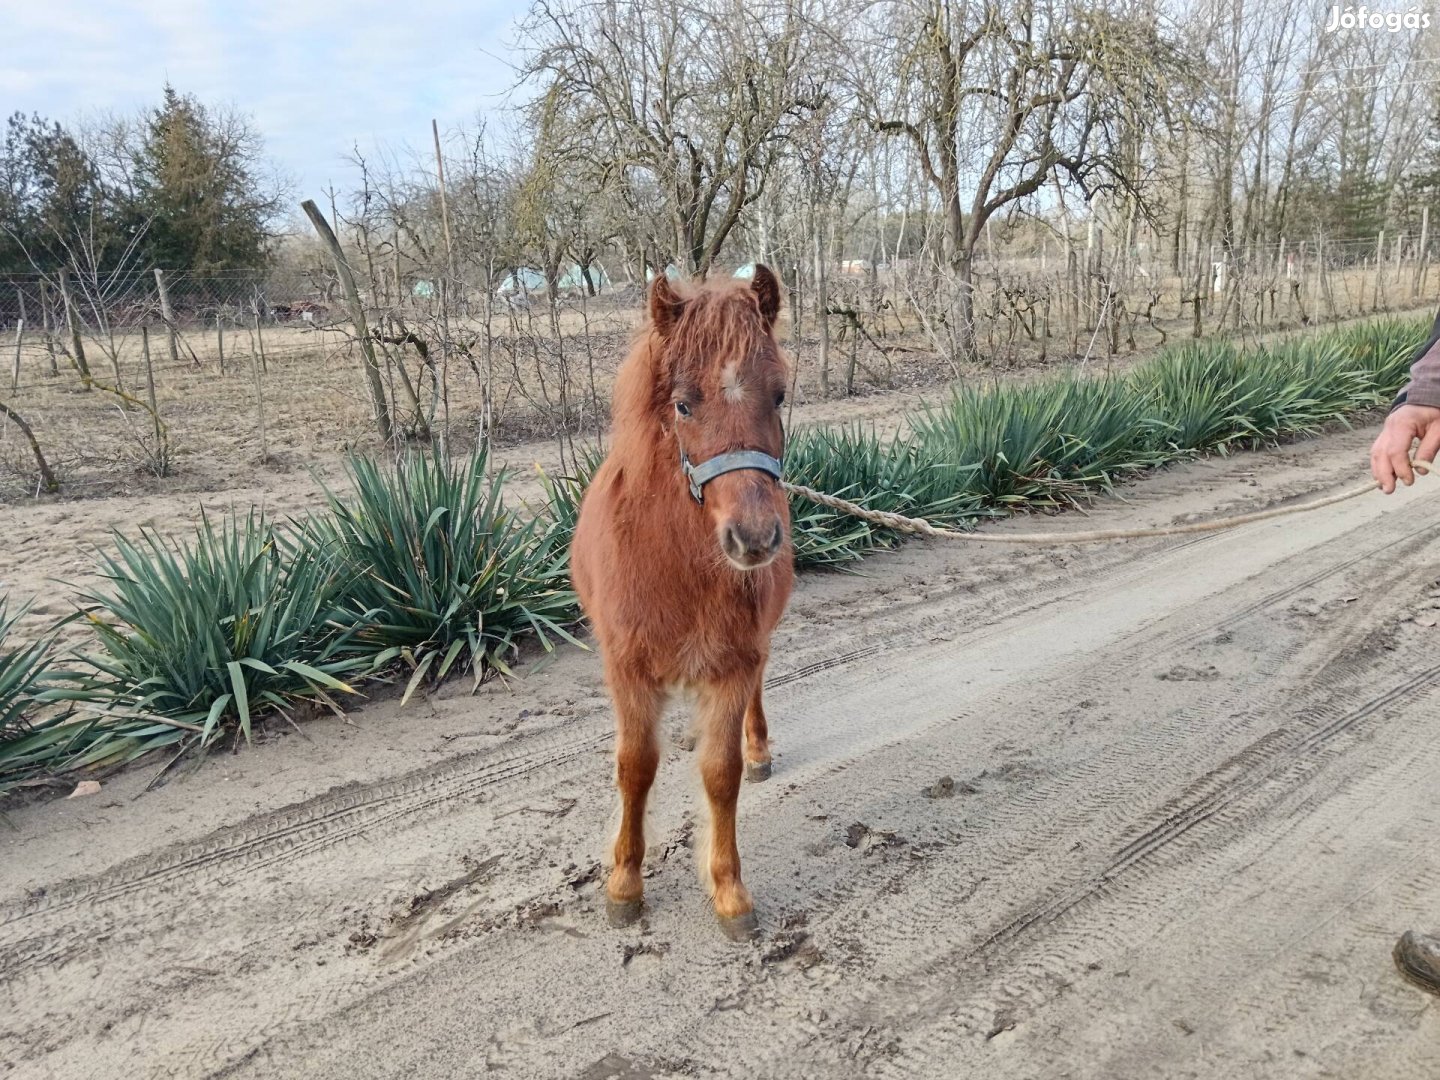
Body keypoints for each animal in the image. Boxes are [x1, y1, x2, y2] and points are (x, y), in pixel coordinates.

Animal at [570, 266, 794, 944]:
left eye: (779, 396)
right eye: (683, 404)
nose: (754, 539)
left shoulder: (731, 665)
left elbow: (721, 775)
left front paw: (729, 892)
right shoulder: (628, 671)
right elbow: (635, 767)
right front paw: (624, 884)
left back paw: (759, 750)